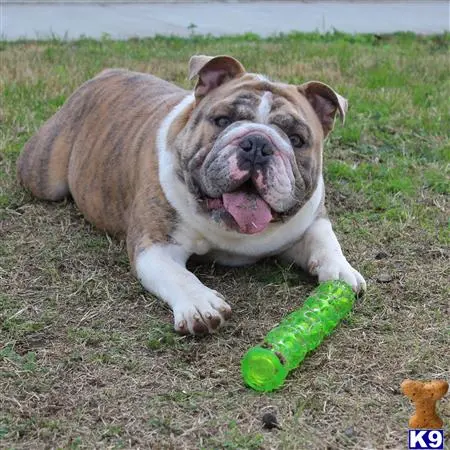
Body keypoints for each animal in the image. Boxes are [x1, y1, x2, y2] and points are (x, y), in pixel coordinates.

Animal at [17, 54, 366, 334]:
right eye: (222, 120)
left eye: (296, 139)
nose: (257, 144)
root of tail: (104, 74)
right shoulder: (155, 246)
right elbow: (177, 275)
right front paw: (201, 304)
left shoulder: (310, 220)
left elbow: (326, 239)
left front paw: (341, 271)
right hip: (44, 177)